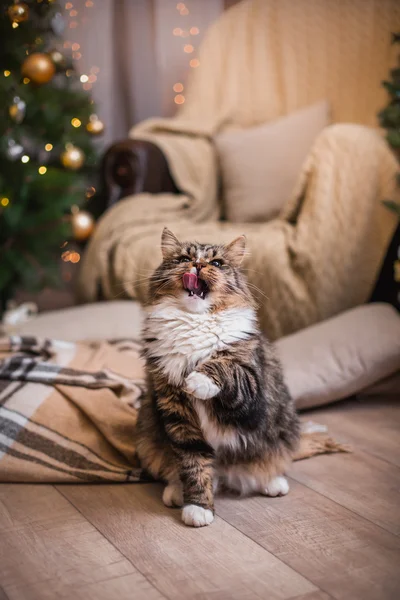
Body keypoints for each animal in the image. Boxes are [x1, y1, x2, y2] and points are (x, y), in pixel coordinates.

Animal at [136, 227, 298, 528]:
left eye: (217, 263)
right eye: (184, 258)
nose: (198, 266)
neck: (195, 321)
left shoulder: (252, 388)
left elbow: (224, 367)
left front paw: (197, 380)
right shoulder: (176, 412)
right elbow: (194, 464)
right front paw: (198, 508)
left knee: (265, 467)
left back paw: (274, 483)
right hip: (146, 434)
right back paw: (176, 492)